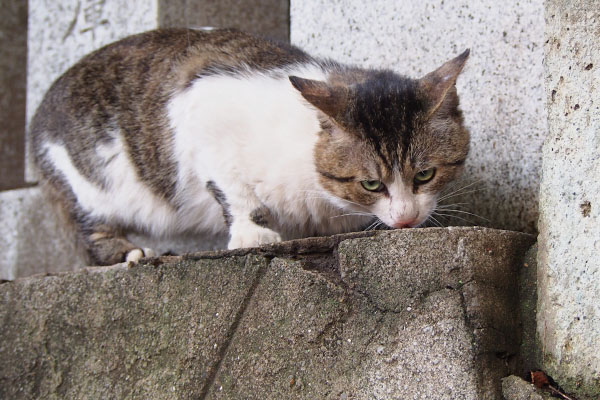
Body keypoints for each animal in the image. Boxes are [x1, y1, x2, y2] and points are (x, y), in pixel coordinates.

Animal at [30, 28, 472, 266]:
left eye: (425, 174)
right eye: (371, 184)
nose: (406, 219)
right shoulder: (201, 108)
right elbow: (233, 189)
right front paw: (252, 232)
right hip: (86, 180)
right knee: (92, 229)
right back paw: (129, 252)